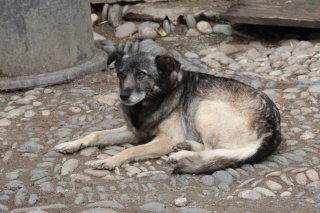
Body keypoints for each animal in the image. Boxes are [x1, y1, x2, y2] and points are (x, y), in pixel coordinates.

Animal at [53, 50, 282, 174]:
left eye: (141, 74)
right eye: (121, 74)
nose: (123, 96)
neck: (149, 102)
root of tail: (273, 128)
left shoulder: (164, 139)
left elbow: (130, 151)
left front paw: (109, 161)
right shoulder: (134, 131)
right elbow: (95, 134)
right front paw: (71, 144)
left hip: (205, 107)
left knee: (212, 150)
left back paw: (181, 154)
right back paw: (184, 147)